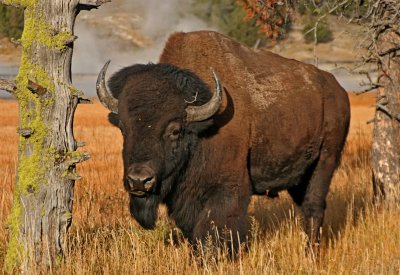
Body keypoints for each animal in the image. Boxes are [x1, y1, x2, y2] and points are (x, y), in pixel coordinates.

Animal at [97, 31, 350, 251]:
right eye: (123, 128)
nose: (139, 180)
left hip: (325, 161)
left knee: (313, 208)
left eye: (175, 130)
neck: (201, 130)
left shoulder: (225, 190)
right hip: (299, 176)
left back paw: (310, 253)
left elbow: (214, 232)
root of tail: (339, 91)